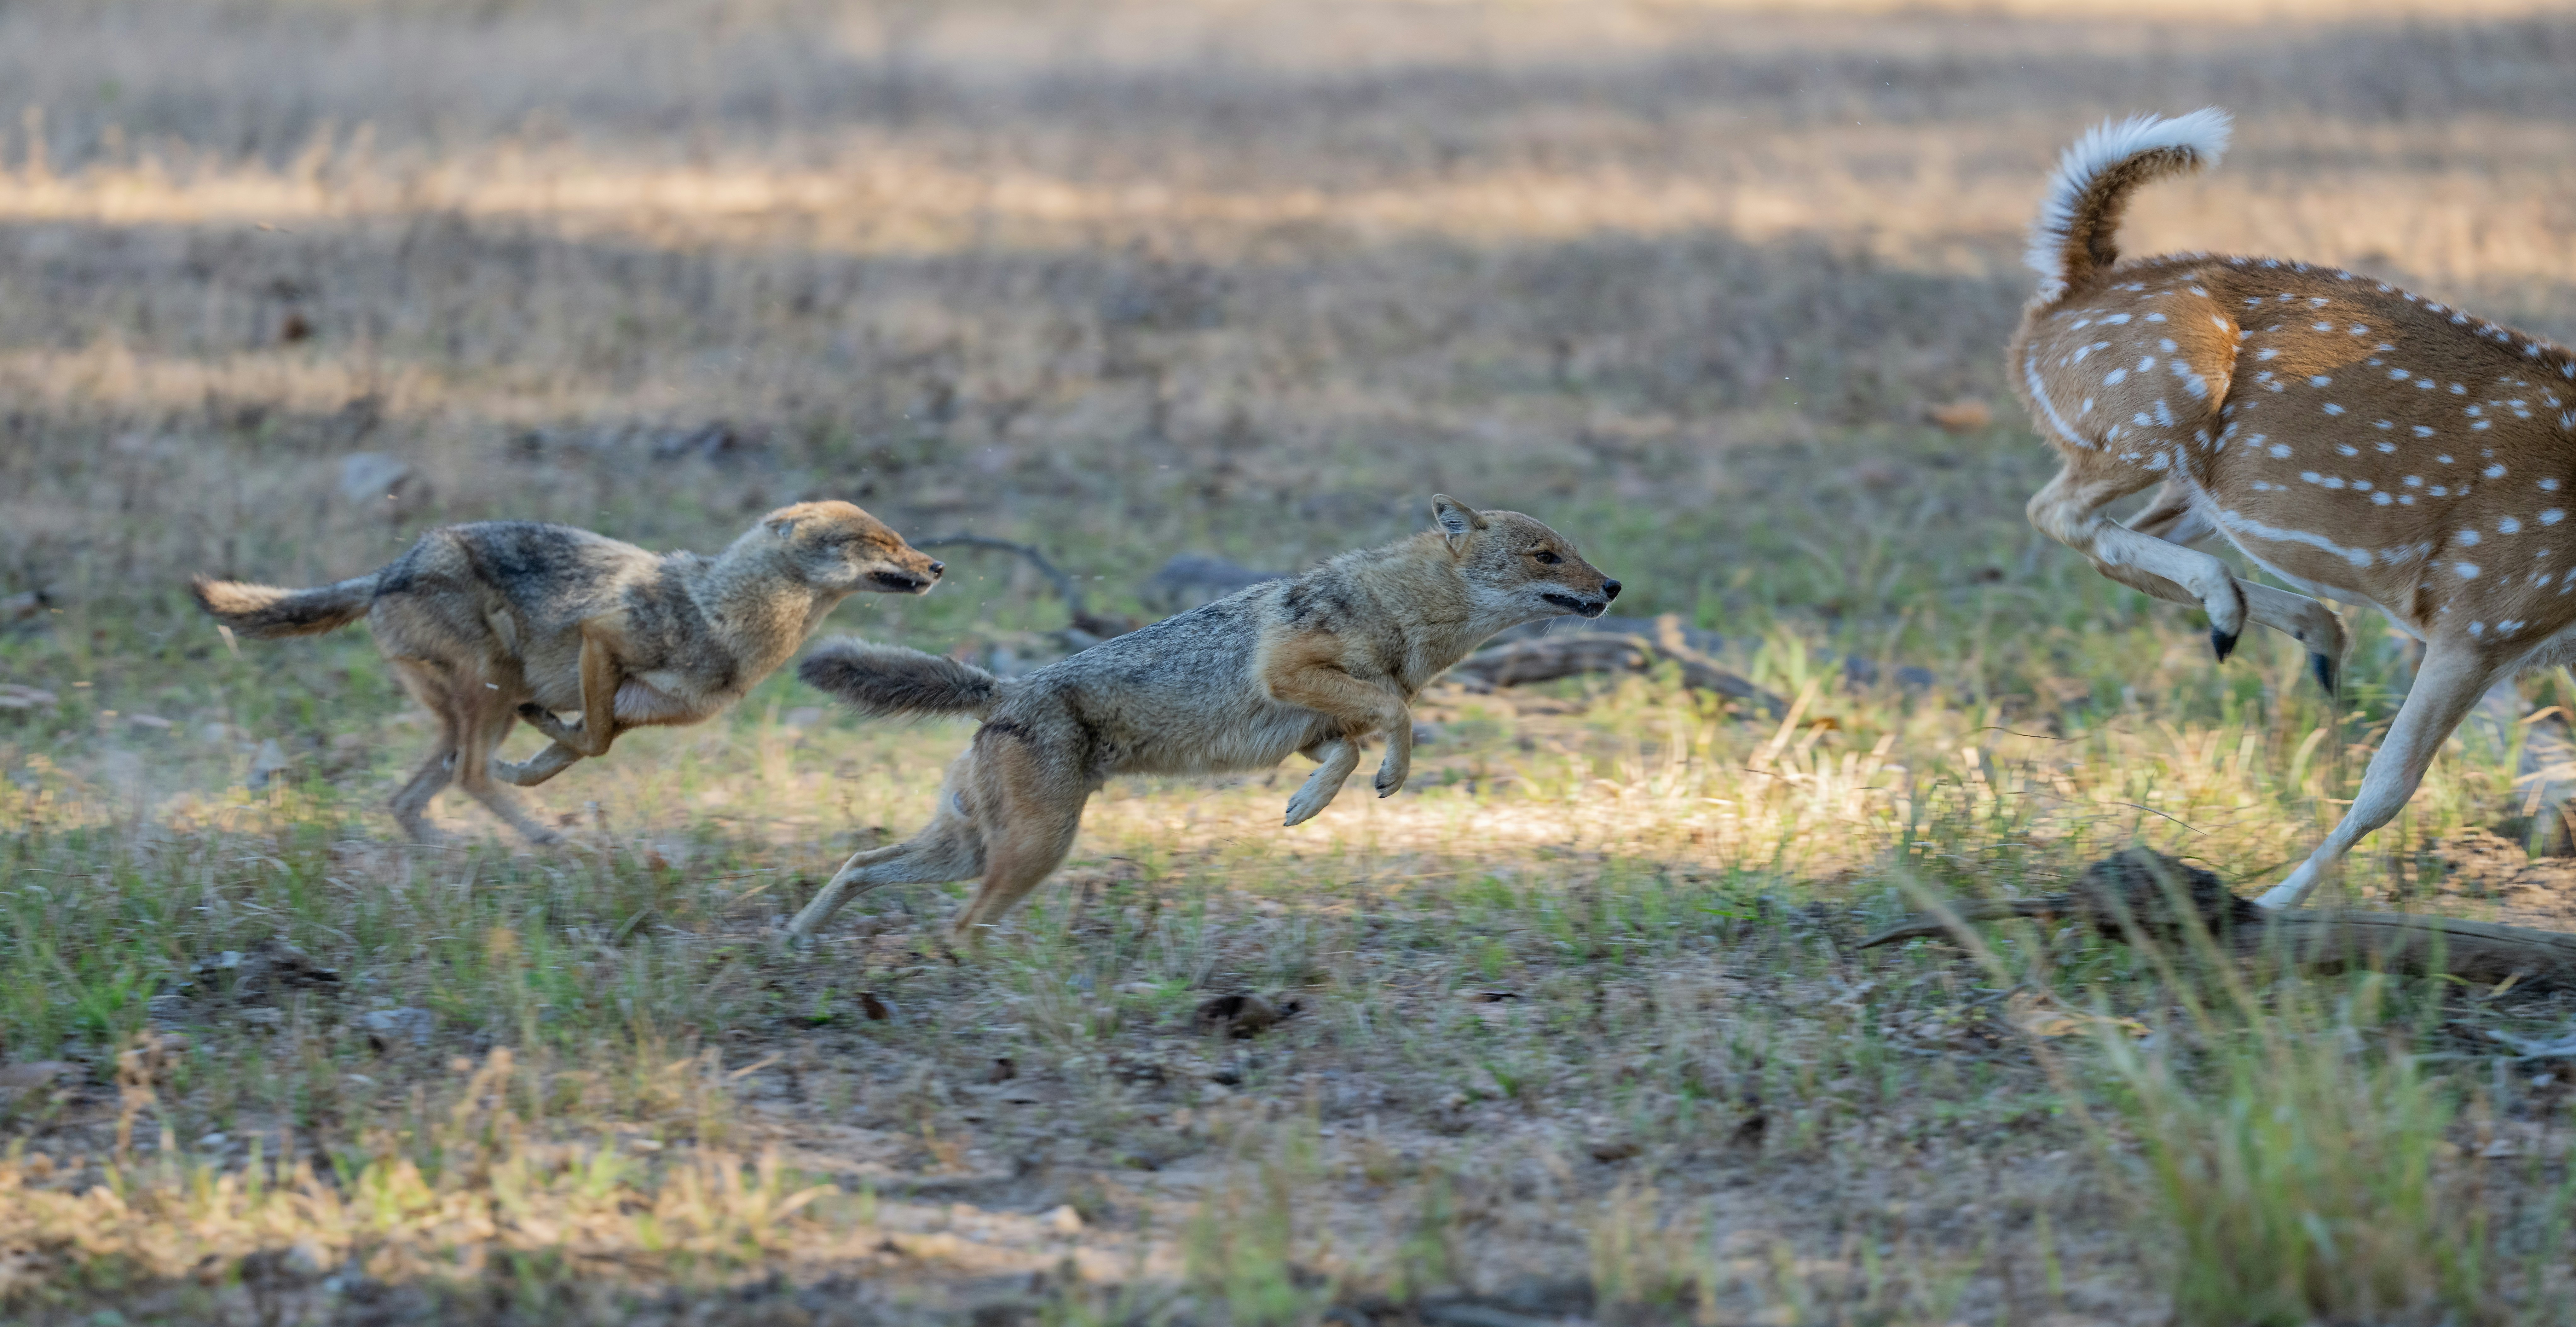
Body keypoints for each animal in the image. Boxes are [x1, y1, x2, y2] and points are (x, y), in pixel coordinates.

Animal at [2010, 107, 2576, 910]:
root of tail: (2068, 291)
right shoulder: (2485, 614)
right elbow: (2388, 783)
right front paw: (2274, 903)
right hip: (2148, 414)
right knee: (2056, 511)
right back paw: (2253, 615)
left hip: (2191, 483)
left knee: (2118, 542)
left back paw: (2307, 630)